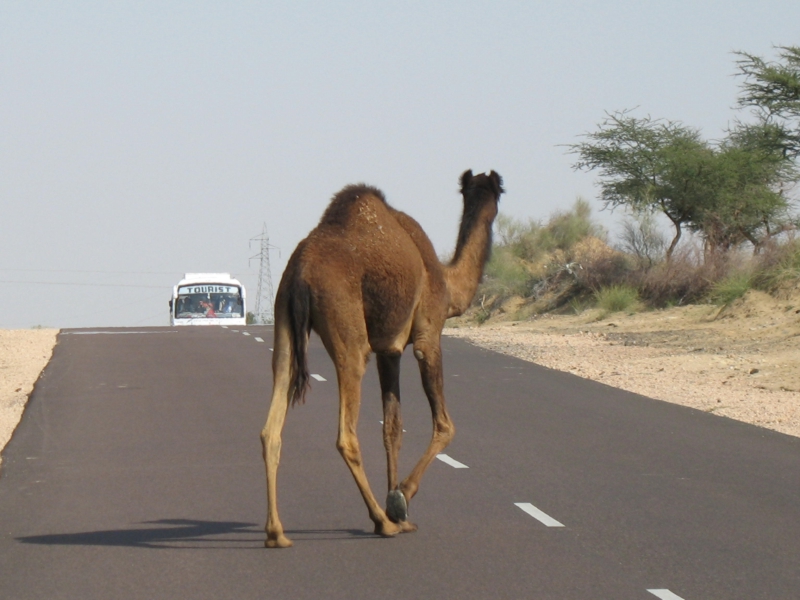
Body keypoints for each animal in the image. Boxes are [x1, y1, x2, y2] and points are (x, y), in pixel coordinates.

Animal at [260, 169, 504, 548]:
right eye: (498, 190)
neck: (449, 286)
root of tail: (300, 273)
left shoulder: (389, 350)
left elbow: (392, 428)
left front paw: (399, 508)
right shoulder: (427, 333)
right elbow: (445, 425)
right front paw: (400, 500)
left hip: (284, 321)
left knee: (271, 425)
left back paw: (276, 533)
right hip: (348, 328)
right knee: (346, 433)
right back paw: (380, 522)